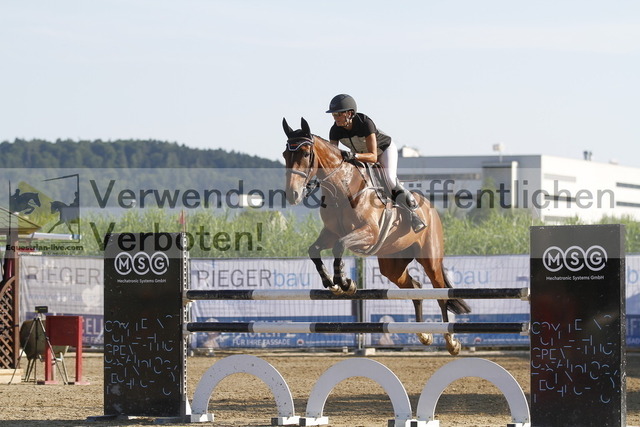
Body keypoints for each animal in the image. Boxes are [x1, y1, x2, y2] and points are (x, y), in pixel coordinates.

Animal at [282, 117, 471, 355]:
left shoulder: (368, 233)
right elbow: (314, 250)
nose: (293, 195)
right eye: (284, 154)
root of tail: (432, 209)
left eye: (306, 154)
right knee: (415, 287)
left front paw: (345, 283)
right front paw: (330, 282)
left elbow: (339, 247)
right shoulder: (330, 233)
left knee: (441, 294)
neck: (342, 188)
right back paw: (424, 335)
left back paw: (451, 342)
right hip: (393, 265)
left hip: (430, 259)